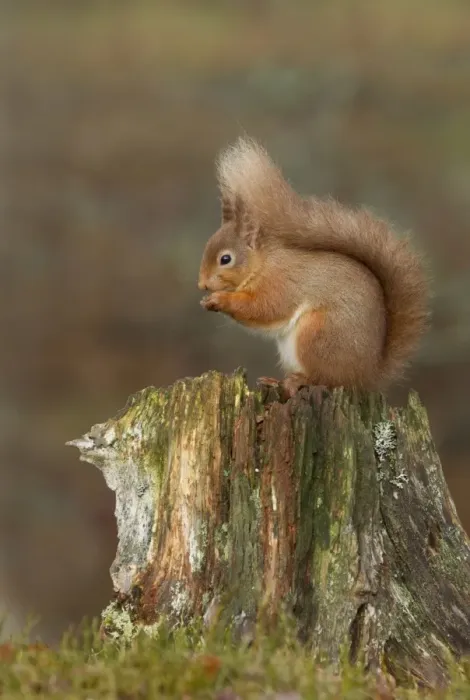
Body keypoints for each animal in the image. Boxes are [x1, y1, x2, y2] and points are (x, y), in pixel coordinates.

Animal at [198, 137, 430, 395]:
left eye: (225, 259)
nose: (202, 284)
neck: (263, 264)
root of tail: (366, 376)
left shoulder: (281, 283)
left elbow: (265, 308)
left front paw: (220, 300)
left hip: (318, 335)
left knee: (326, 378)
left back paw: (298, 381)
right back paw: (276, 381)